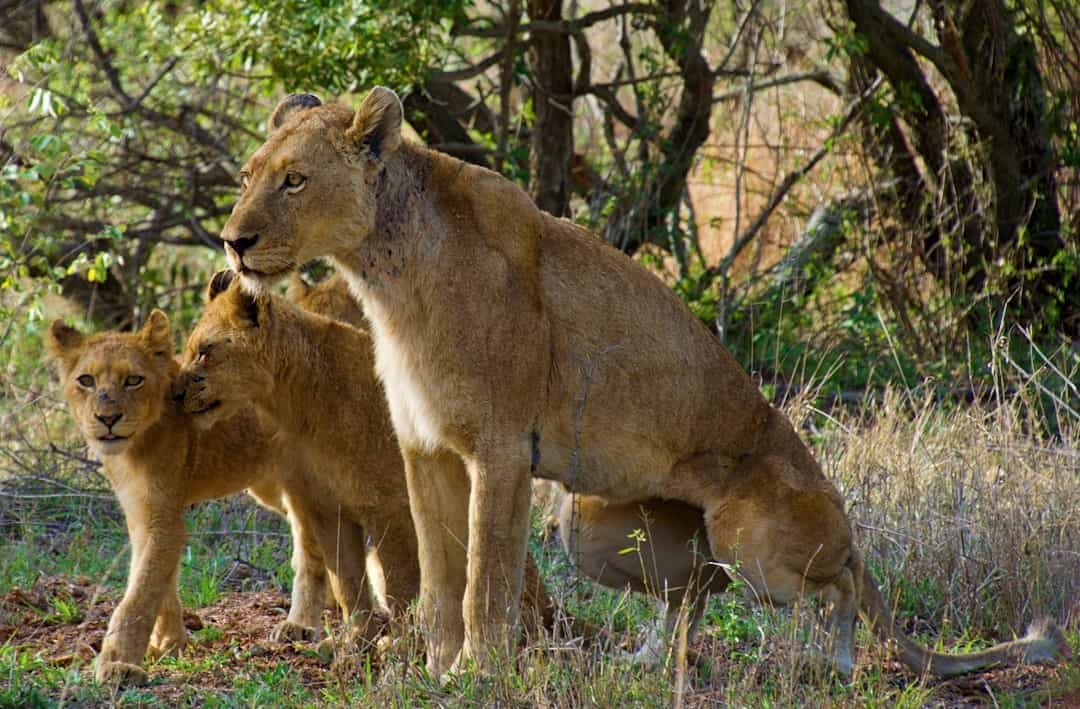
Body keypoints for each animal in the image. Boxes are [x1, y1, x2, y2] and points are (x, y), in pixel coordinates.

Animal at [214, 87, 1069, 678]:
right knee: (693, 592)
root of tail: (846, 518)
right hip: (587, 523)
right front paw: (434, 668)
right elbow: (438, 578)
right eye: (251, 174)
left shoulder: (499, 449)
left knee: (843, 586)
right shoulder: (425, 449)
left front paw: (477, 672)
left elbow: (484, 576)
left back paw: (834, 664)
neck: (384, 270)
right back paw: (646, 663)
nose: (232, 240)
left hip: (753, 539)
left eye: (294, 180)